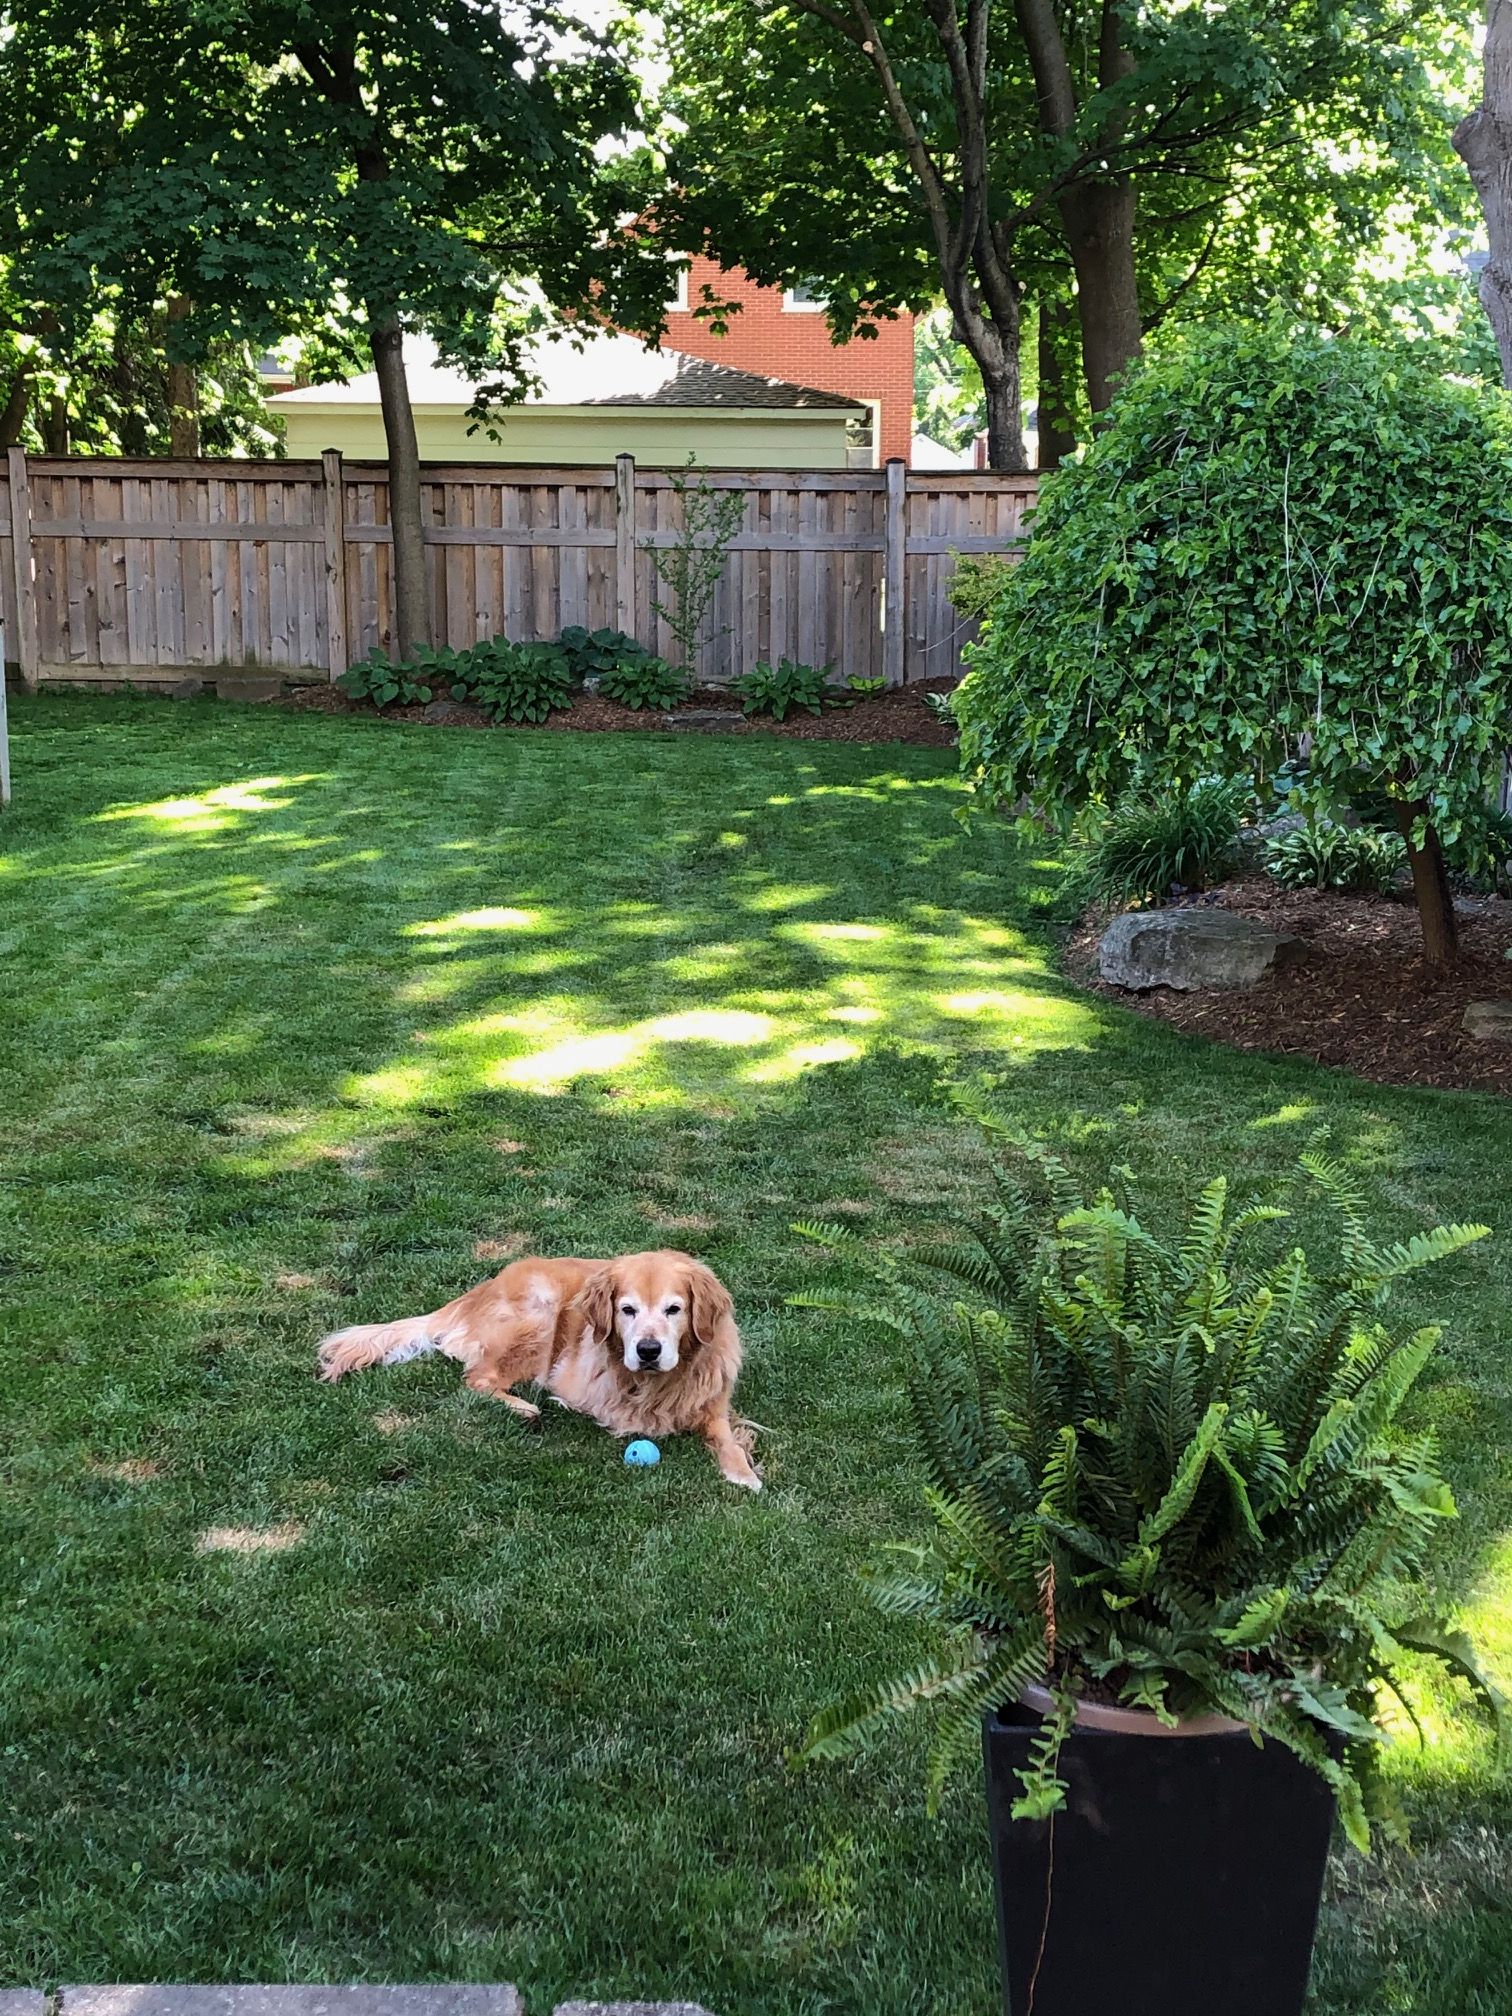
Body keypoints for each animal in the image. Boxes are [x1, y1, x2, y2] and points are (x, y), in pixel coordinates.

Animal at [316, 1249, 761, 1490]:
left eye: (674, 1309)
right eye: (627, 1310)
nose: (648, 1350)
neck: (660, 1379)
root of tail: (478, 1291)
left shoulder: (713, 1401)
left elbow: (725, 1435)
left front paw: (742, 1471)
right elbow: (620, 1412)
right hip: (539, 1311)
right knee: (478, 1379)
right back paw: (526, 1408)